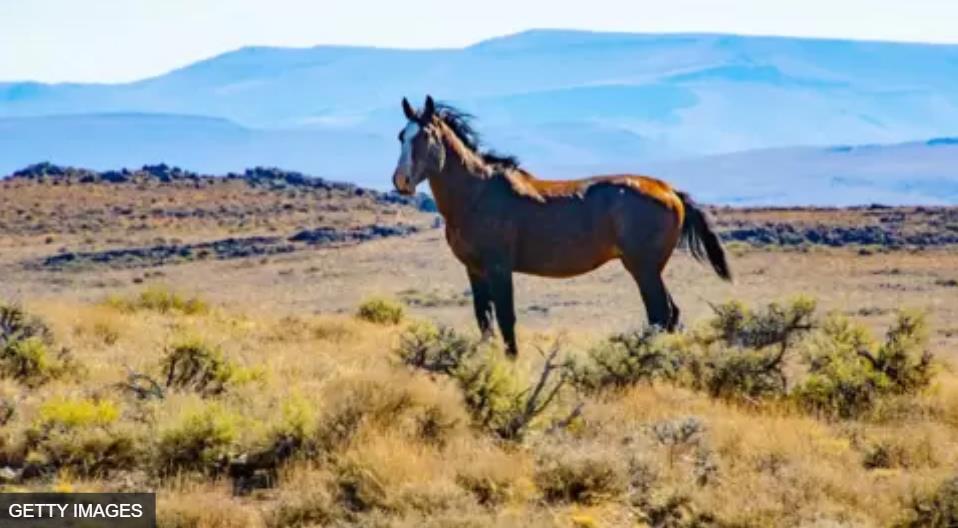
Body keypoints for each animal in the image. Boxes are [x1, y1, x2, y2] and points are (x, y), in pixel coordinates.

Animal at [392, 95, 731, 357]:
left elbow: (506, 318)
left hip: (643, 268)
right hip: (648, 269)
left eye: (425, 136)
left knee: (660, 314)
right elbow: (484, 320)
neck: (477, 194)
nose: (401, 181)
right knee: (670, 314)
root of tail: (670, 191)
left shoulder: (499, 267)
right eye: (401, 136)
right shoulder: (474, 270)